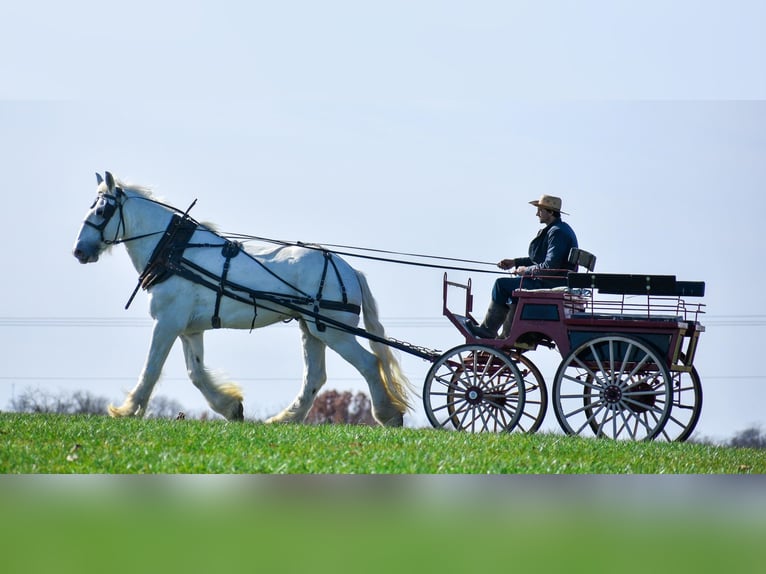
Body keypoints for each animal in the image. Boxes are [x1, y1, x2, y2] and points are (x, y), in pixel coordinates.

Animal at [73, 171, 414, 428]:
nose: (79, 251)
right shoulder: (189, 329)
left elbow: (151, 368)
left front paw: (126, 410)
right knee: (315, 377)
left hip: (334, 331)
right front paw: (230, 407)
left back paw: (387, 415)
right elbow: (196, 373)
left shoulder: (167, 323)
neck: (172, 250)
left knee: (369, 363)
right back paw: (285, 419)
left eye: (101, 211)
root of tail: (350, 269)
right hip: (312, 329)